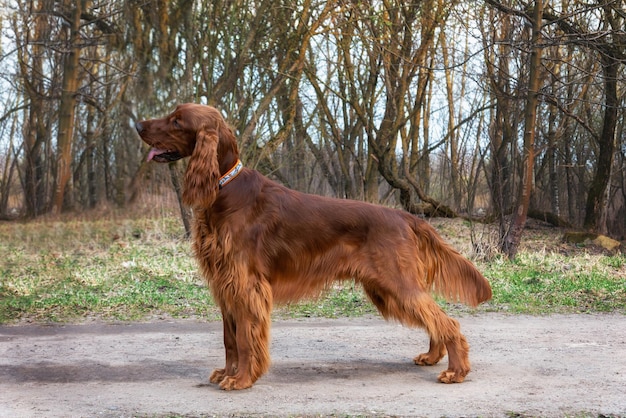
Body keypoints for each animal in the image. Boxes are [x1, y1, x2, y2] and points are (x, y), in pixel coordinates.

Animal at [134, 103, 490, 390]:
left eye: (177, 121)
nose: (137, 125)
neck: (224, 189)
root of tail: (406, 216)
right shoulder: (226, 285)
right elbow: (229, 339)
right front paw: (227, 373)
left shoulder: (247, 285)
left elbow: (246, 338)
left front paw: (242, 379)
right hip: (388, 289)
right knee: (435, 319)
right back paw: (432, 356)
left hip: (397, 285)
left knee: (448, 322)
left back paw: (456, 371)